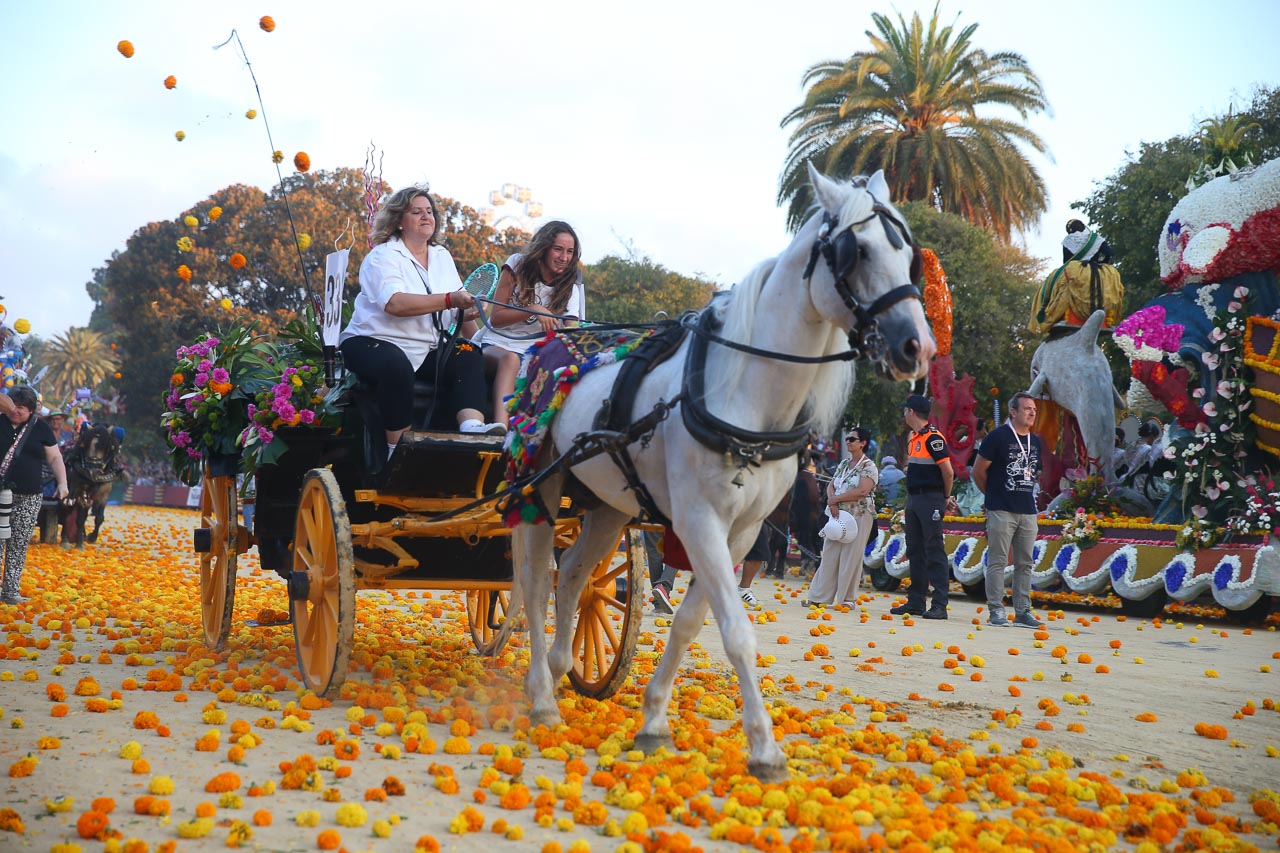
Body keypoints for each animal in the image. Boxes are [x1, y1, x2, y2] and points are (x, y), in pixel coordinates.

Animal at [499, 162, 931, 778]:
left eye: (909, 255)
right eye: (858, 251)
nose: (917, 346)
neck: (744, 394)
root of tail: (552, 343)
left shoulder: (742, 532)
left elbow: (688, 623)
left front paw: (654, 720)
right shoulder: (699, 521)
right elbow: (735, 632)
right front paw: (765, 747)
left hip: (608, 505)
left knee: (576, 577)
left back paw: (561, 667)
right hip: (539, 484)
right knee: (536, 582)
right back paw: (540, 695)